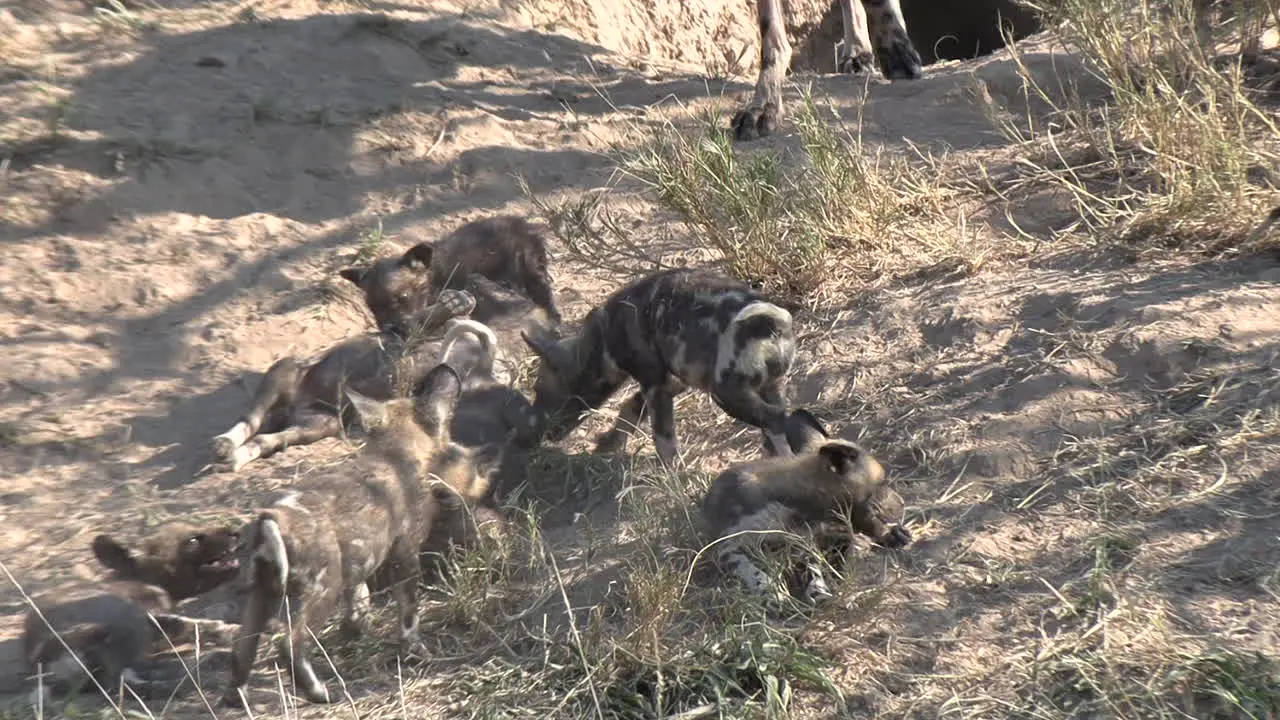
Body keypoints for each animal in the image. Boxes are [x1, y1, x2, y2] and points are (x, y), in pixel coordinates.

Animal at [21, 520, 241, 696]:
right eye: (193, 540)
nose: (235, 532)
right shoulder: (152, 617)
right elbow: (194, 624)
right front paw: (228, 630)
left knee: (124, 682)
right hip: (126, 630)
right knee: (120, 684)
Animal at [212, 285, 478, 471]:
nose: (465, 297)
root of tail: (294, 406)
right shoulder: (406, 329)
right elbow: (423, 319)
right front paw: (457, 301)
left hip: (319, 424)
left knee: (265, 439)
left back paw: (233, 458)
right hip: (284, 370)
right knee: (250, 420)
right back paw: (224, 444)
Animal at [517, 267, 788, 466]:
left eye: (539, 391)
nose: (537, 435)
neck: (602, 339)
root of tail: (769, 324)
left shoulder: (654, 385)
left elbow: (663, 439)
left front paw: (672, 478)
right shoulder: (669, 382)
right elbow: (630, 410)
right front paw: (608, 444)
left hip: (726, 394)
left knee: (775, 420)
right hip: (768, 388)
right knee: (780, 419)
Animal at [701, 409, 911, 604]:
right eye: (882, 483)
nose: (902, 502)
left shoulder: (803, 543)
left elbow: (813, 574)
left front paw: (819, 593)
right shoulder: (728, 547)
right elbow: (752, 571)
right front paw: (772, 593)